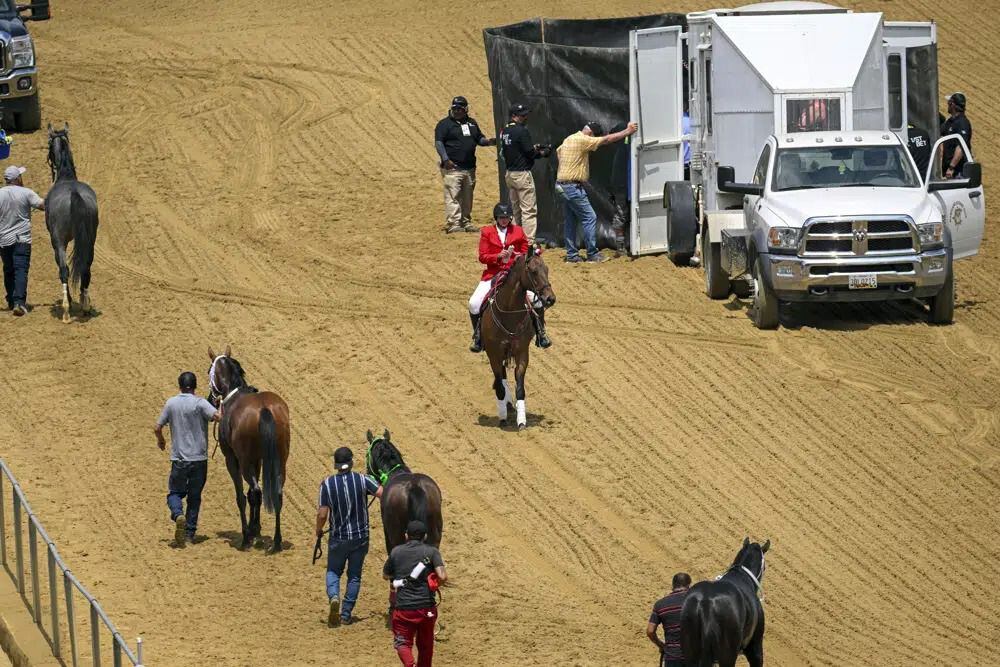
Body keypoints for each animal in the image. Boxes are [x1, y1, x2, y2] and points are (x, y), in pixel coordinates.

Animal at [45, 125, 98, 326]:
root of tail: (74, 194)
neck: (66, 177)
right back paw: (85, 306)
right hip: (90, 239)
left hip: (58, 241)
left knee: (64, 270)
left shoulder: (58, 241)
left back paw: (67, 311)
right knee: (86, 267)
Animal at [207, 344, 290, 552]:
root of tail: (264, 409)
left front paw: (249, 533)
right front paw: (256, 528)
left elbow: (242, 496)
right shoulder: (259, 460)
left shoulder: (232, 459)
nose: (210, 400)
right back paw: (276, 541)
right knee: (276, 493)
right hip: (280, 460)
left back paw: (246, 539)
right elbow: (252, 495)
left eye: (208, 370)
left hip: (243, 462)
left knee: (256, 491)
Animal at [478, 248, 556, 430]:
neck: (509, 312)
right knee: (501, 378)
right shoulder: (494, 354)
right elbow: (500, 386)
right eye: (533, 271)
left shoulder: (522, 353)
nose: (550, 299)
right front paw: (503, 418)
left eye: (547, 269)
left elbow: (520, 388)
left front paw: (521, 421)